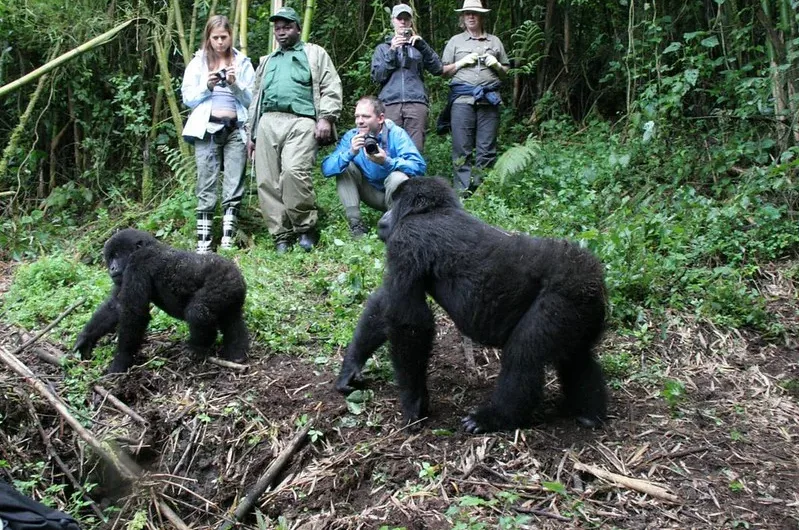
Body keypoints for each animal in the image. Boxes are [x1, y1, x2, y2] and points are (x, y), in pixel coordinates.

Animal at [76, 227, 250, 372]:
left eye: (117, 256)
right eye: (110, 258)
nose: (112, 268)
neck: (147, 246)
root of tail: (237, 274)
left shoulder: (137, 264)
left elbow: (134, 313)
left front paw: (120, 361)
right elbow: (115, 306)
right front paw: (85, 339)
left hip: (223, 283)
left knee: (198, 312)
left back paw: (198, 347)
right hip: (232, 293)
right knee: (232, 320)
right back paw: (237, 353)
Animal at [334, 175, 608, 432]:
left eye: (393, 202)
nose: (384, 218)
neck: (431, 210)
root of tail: (593, 277)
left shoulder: (407, 240)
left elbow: (409, 321)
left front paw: (414, 400)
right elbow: (385, 305)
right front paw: (351, 366)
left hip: (562, 299)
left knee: (524, 354)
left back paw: (497, 417)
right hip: (582, 308)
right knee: (576, 356)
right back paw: (590, 412)